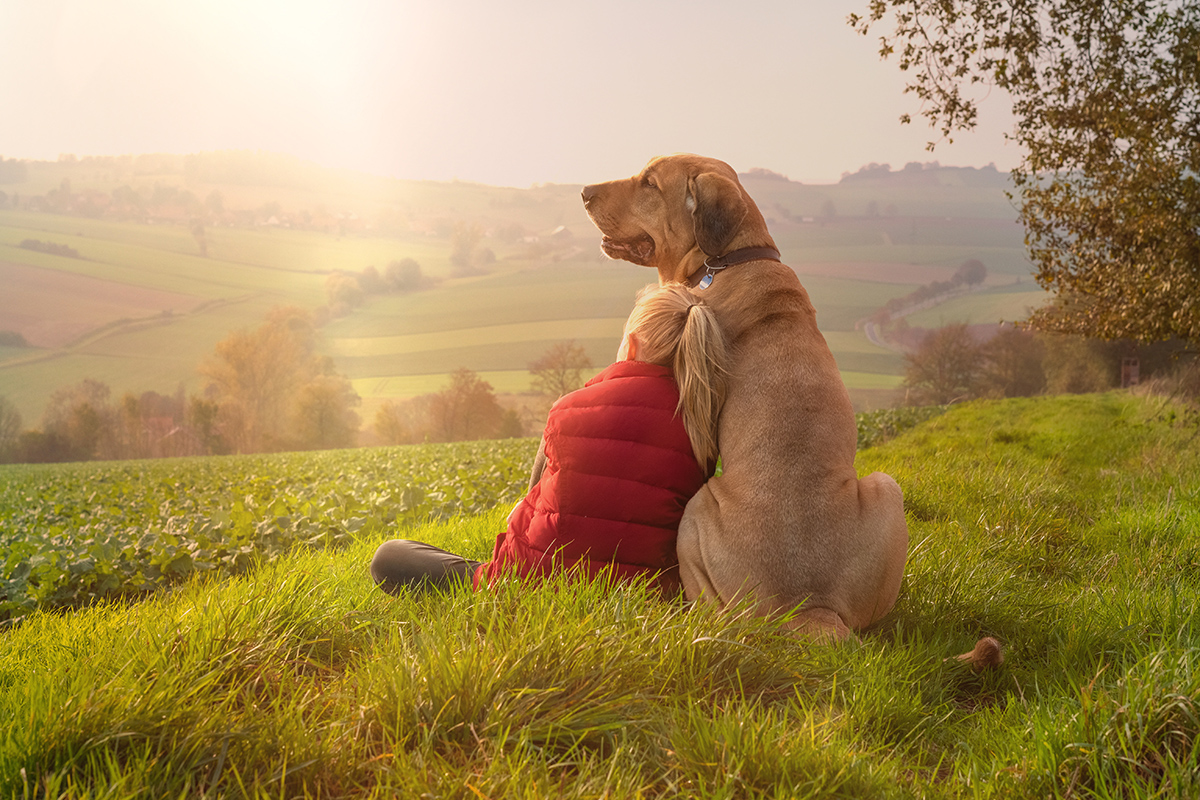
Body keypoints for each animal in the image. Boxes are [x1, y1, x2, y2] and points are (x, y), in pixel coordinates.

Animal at [580, 154, 907, 642]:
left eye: (650, 183)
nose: (584, 192)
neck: (727, 258)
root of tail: (808, 606)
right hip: (889, 488)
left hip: (697, 512)